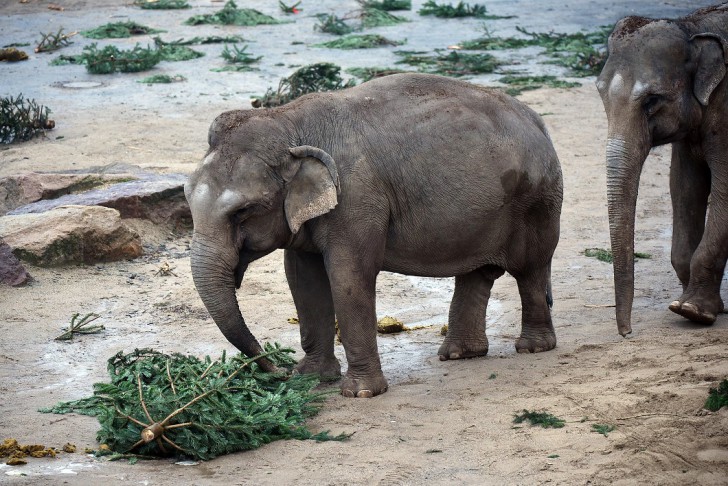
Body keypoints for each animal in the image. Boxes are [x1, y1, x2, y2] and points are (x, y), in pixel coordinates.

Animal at [183, 73, 564, 398]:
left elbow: (348, 277)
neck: (289, 121)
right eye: (186, 196)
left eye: (243, 211)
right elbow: (303, 280)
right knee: (477, 273)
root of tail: (538, 121)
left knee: (530, 269)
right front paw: (311, 378)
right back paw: (460, 354)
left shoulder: (357, 198)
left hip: (537, 200)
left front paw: (361, 393)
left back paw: (532, 347)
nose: (278, 370)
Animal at [596, 3, 728, 336]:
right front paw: (698, 305)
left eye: (652, 100)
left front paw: (692, 311)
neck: (693, 26)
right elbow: (683, 185)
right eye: (601, 94)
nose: (626, 333)